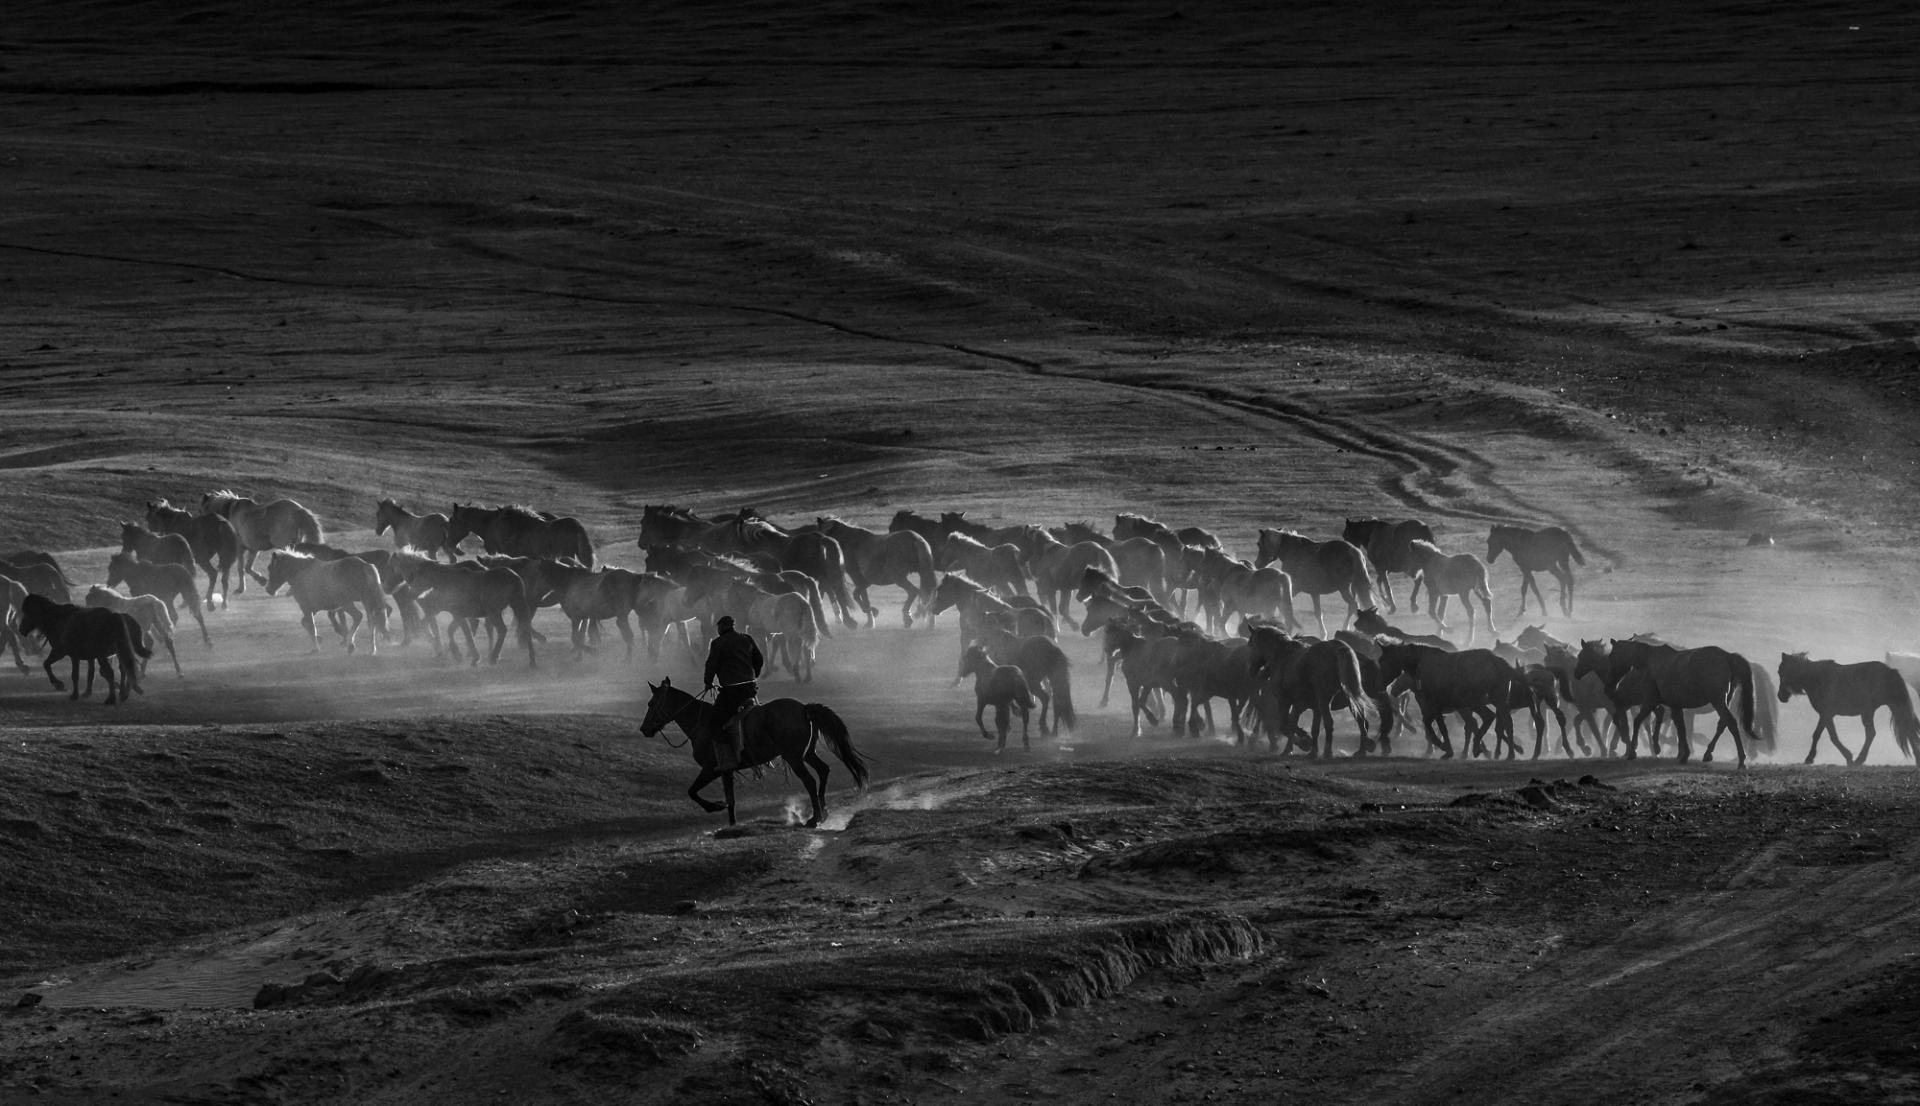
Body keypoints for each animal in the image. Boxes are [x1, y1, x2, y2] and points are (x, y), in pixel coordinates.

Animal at [16, 591, 147, 702]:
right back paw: (125, 693)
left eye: (29, 612)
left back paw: (112, 698)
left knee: (112, 671)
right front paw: (85, 693)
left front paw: (64, 688)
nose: (21, 630)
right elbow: (90, 673)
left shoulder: (63, 652)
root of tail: (115, 617)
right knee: (125, 669)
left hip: (103, 655)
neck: (60, 620)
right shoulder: (86, 656)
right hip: (118, 653)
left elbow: (59, 669)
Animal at [637, 675, 871, 829]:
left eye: (651, 703)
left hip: (794, 758)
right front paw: (731, 824)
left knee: (810, 781)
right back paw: (823, 812)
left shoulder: (711, 769)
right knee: (823, 770)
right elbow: (730, 799)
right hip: (807, 753)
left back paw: (814, 819)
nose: (644, 729)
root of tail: (804, 708)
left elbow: (693, 791)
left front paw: (715, 807)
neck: (700, 722)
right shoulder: (726, 771)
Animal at [1766, 652, 1920, 764]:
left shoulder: (1826, 714)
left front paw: (1813, 758)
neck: (1816, 679)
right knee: (1880, 732)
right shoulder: (1826, 715)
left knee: (1884, 732)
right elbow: (1825, 735)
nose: (1781, 696)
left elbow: (1825, 735)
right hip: (1876, 710)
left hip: (1883, 709)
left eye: (1781, 672)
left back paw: (1859, 760)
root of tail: (1891, 671)